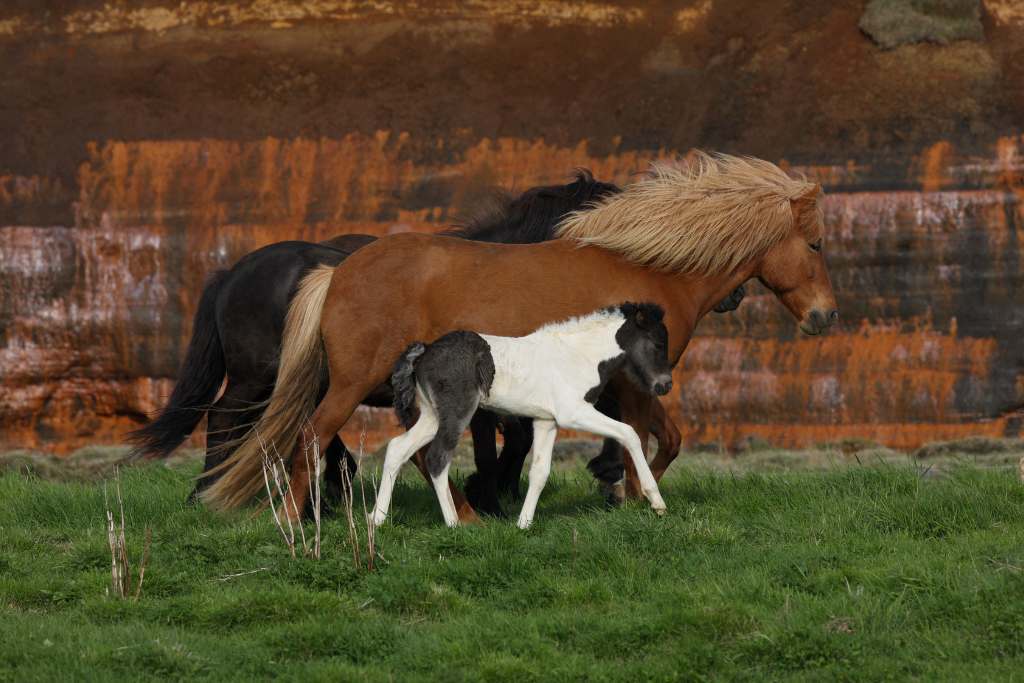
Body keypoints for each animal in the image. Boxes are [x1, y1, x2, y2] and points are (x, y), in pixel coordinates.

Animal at [375, 302, 673, 528]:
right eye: (658, 343)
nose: (666, 385)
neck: (578, 357)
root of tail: (423, 352)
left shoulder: (547, 422)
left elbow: (539, 471)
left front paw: (523, 524)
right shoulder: (574, 413)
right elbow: (629, 433)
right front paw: (657, 502)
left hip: (432, 416)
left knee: (397, 448)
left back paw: (377, 519)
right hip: (457, 412)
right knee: (437, 458)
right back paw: (452, 523)